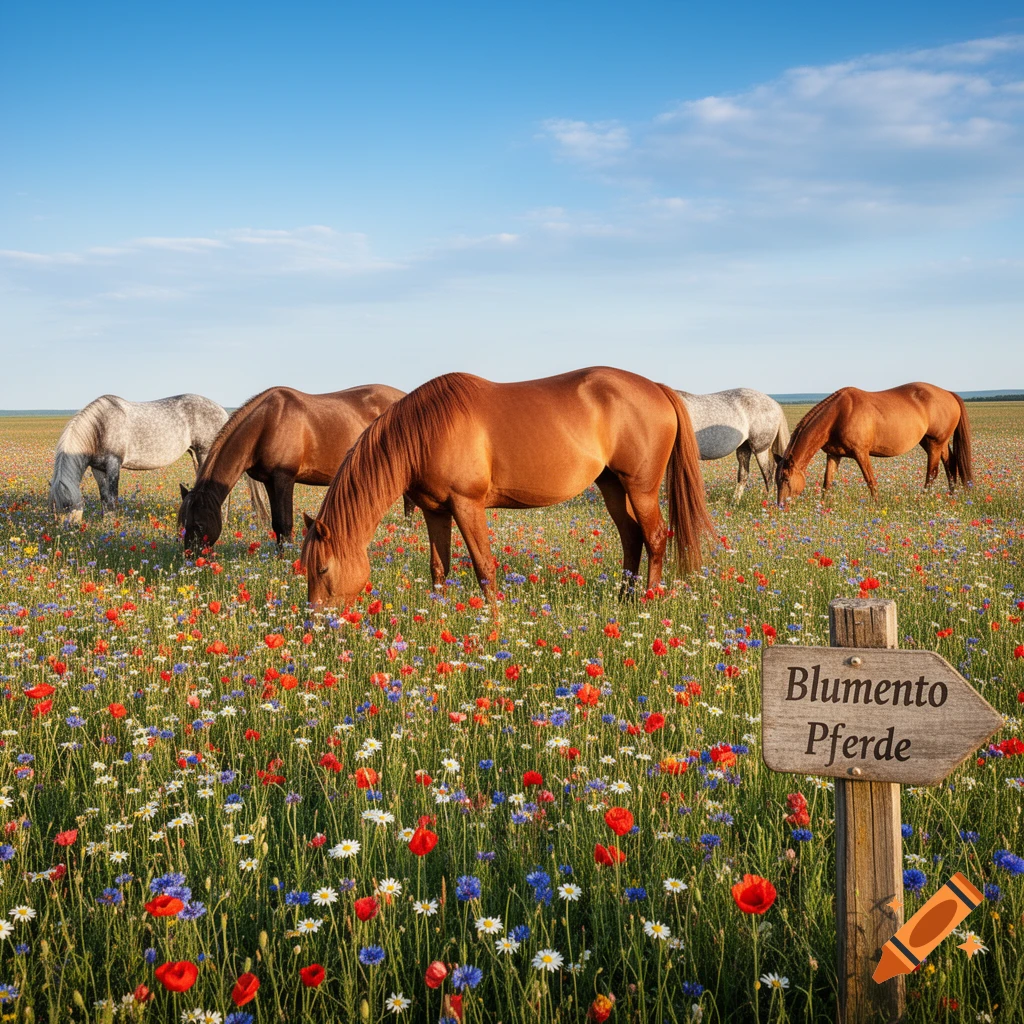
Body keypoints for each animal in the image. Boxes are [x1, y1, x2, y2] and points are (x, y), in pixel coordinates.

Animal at [49, 394, 229, 523]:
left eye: (68, 505)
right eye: (54, 508)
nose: (68, 531)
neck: (100, 428)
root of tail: (222, 410)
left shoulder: (113, 464)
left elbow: (112, 498)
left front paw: (112, 526)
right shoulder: (98, 469)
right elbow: (104, 498)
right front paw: (105, 523)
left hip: (205, 453)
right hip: (196, 455)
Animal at [178, 385, 410, 549]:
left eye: (199, 524)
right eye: (183, 523)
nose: (191, 558)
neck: (267, 423)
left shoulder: (284, 479)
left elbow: (285, 523)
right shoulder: (269, 482)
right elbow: (276, 525)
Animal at [299, 367, 713, 610]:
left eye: (322, 568)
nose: (316, 625)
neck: (427, 430)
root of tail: (657, 388)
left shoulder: (467, 505)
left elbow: (484, 566)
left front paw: (494, 624)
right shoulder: (436, 511)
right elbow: (438, 568)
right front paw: (434, 617)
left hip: (641, 488)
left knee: (655, 537)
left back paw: (647, 603)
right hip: (611, 484)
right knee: (631, 536)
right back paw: (624, 602)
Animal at [776, 382, 973, 503]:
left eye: (785, 478)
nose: (780, 505)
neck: (839, 414)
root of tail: (949, 394)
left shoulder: (861, 453)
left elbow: (870, 481)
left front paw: (876, 506)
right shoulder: (833, 455)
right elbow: (827, 482)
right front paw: (822, 507)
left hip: (934, 444)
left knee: (932, 473)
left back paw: (923, 500)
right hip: (935, 443)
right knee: (950, 464)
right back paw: (951, 495)